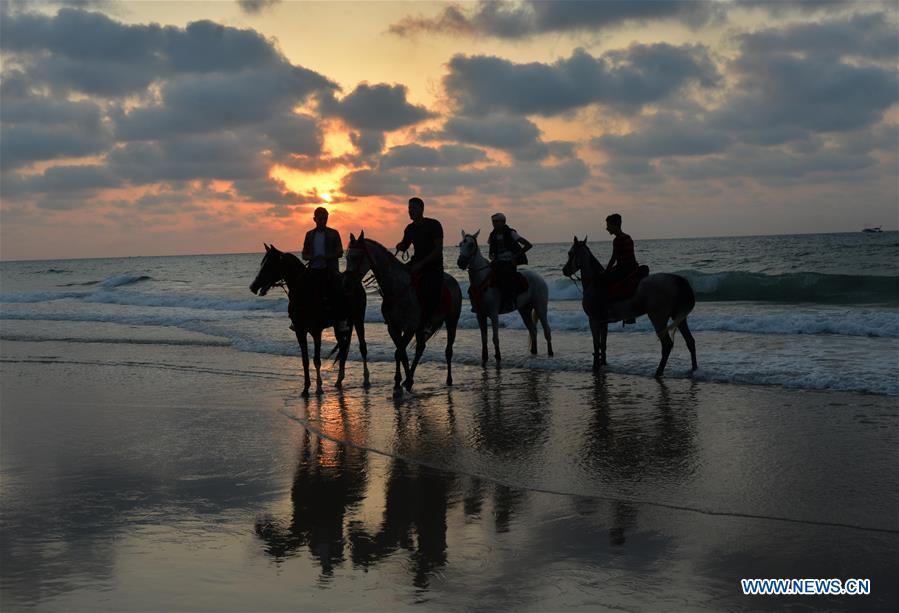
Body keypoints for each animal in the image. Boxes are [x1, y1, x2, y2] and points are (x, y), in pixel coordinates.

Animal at [342, 230, 460, 392]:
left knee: (448, 351)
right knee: (420, 348)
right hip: (421, 327)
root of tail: (453, 281)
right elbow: (400, 352)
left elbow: (399, 352)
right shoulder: (394, 328)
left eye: (356, 257)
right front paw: (401, 379)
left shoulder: (410, 328)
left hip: (451, 321)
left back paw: (449, 379)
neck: (397, 287)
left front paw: (405, 380)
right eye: (347, 257)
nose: (346, 284)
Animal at [458, 228, 556, 364]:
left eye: (471, 244)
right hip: (524, 310)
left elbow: (495, 338)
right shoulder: (480, 315)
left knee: (547, 331)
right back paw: (533, 352)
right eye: (460, 244)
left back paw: (550, 353)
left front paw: (498, 357)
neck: (481, 281)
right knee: (533, 331)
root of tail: (540, 278)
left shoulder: (493, 314)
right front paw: (484, 359)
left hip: (540, 308)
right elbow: (484, 339)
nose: (460, 262)